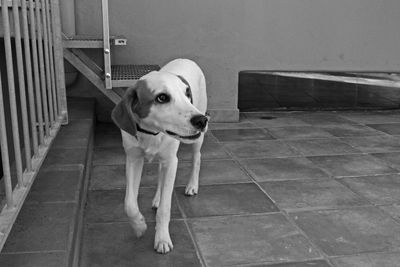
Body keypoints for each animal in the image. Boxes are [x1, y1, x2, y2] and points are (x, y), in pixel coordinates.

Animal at [111, 59, 208, 255]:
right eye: (162, 98)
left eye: (187, 94)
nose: (202, 121)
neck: (151, 133)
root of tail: (187, 59)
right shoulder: (133, 159)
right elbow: (129, 203)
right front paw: (139, 226)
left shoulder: (171, 162)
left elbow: (165, 208)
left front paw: (162, 238)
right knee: (160, 177)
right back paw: (157, 198)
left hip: (196, 139)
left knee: (197, 158)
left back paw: (192, 186)